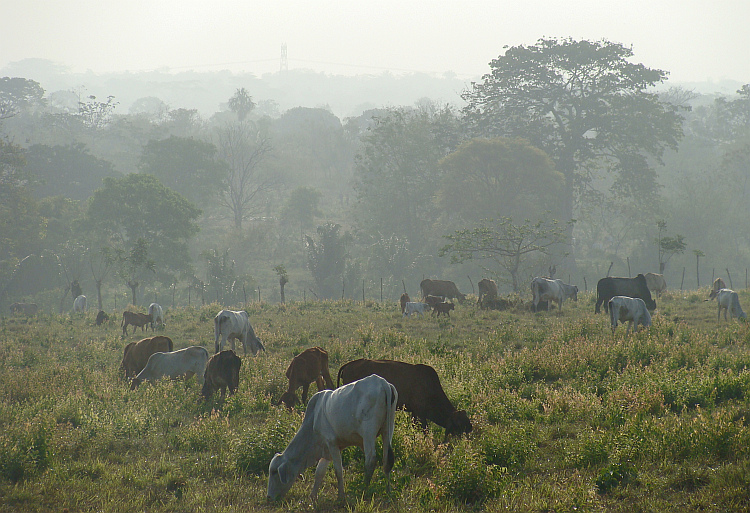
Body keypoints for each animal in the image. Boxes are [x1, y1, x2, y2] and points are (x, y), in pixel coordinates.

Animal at [268, 374, 400, 502]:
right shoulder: (326, 448)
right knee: (386, 460)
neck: (314, 418)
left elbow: (338, 470)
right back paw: (388, 492)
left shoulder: (331, 443)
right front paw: (312, 496)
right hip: (388, 429)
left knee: (371, 460)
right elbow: (319, 472)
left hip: (368, 433)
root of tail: (382, 382)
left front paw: (340, 496)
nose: (269, 497)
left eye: (274, 472)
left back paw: (363, 490)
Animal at [338, 356, 472, 436]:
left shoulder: (414, 413)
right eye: (460, 424)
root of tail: (349, 365)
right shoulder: (420, 413)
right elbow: (425, 429)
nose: (470, 428)